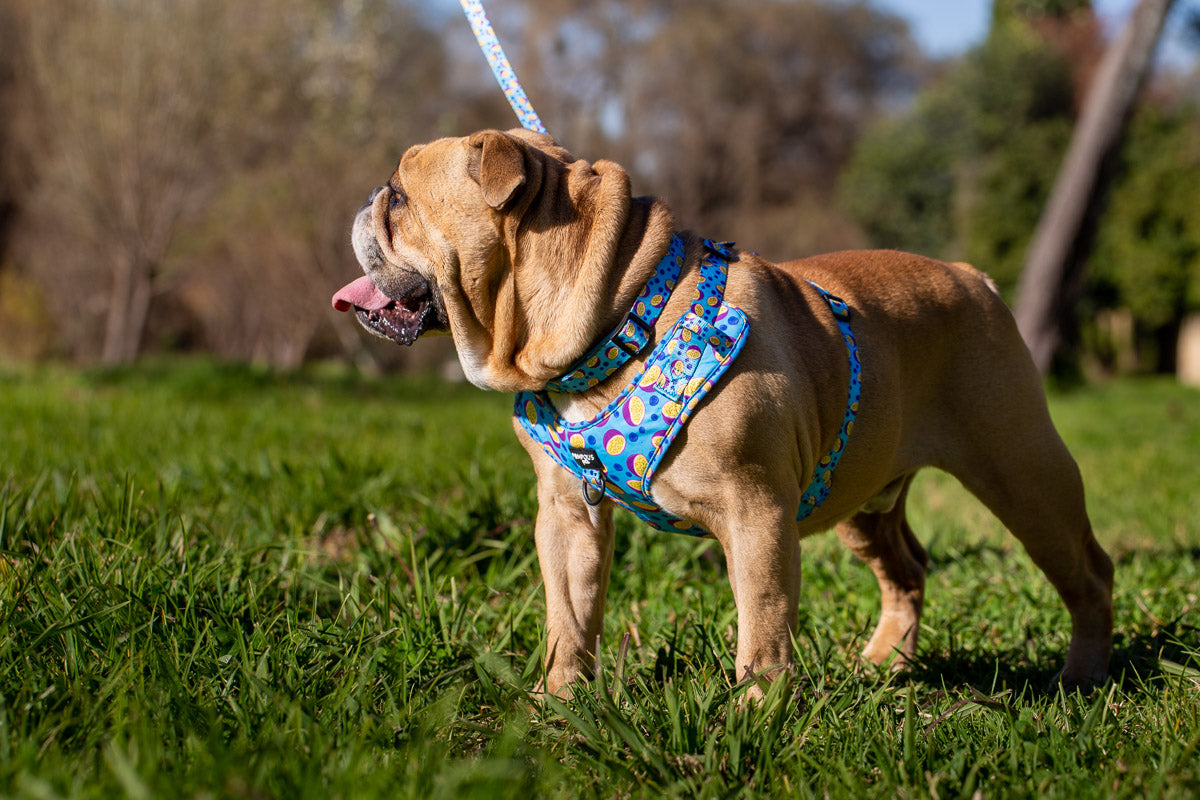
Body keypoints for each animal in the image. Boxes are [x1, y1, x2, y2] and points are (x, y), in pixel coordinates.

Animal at [331, 128, 1113, 695]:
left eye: (399, 199)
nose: (366, 197)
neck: (621, 317)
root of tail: (972, 277)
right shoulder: (566, 516)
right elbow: (569, 618)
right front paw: (559, 705)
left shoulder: (755, 511)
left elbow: (761, 625)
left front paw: (757, 713)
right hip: (864, 497)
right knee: (908, 568)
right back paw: (884, 665)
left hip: (1024, 472)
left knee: (1089, 570)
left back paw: (1083, 677)